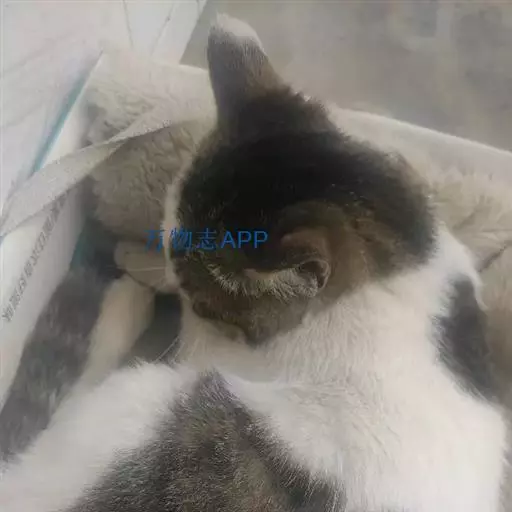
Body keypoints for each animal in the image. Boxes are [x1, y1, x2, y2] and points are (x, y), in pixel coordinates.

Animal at [0, 15, 508, 512]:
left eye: (203, 304)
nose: (165, 274)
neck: (392, 290)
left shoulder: (205, 350)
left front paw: (141, 267)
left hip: (135, 404)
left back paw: (123, 307)